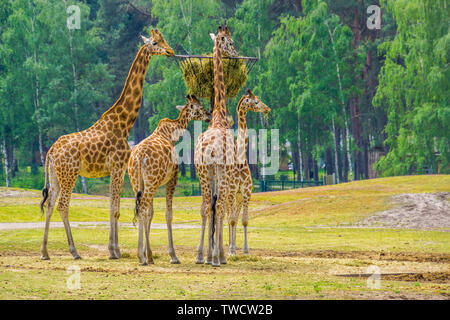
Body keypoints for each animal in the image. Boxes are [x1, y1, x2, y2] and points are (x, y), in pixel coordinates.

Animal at [40, 29, 174, 260]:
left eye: (164, 39)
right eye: (155, 42)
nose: (170, 51)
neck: (124, 123)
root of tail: (51, 151)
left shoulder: (114, 169)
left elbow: (113, 207)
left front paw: (115, 249)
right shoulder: (118, 167)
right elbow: (115, 209)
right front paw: (115, 251)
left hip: (55, 175)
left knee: (49, 204)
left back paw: (45, 252)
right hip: (69, 174)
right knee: (62, 206)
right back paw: (74, 252)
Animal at [126, 95, 211, 264]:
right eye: (199, 107)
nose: (208, 115)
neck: (172, 134)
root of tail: (138, 158)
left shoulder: (153, 184)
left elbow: (151, 213)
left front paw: (148, 252)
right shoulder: (172, 178)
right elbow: (168, 214)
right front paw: (173, 256)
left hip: (137, 183)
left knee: (141, 209)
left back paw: (143, 256)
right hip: (151, 182)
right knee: (142, 208)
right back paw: (143, 257)